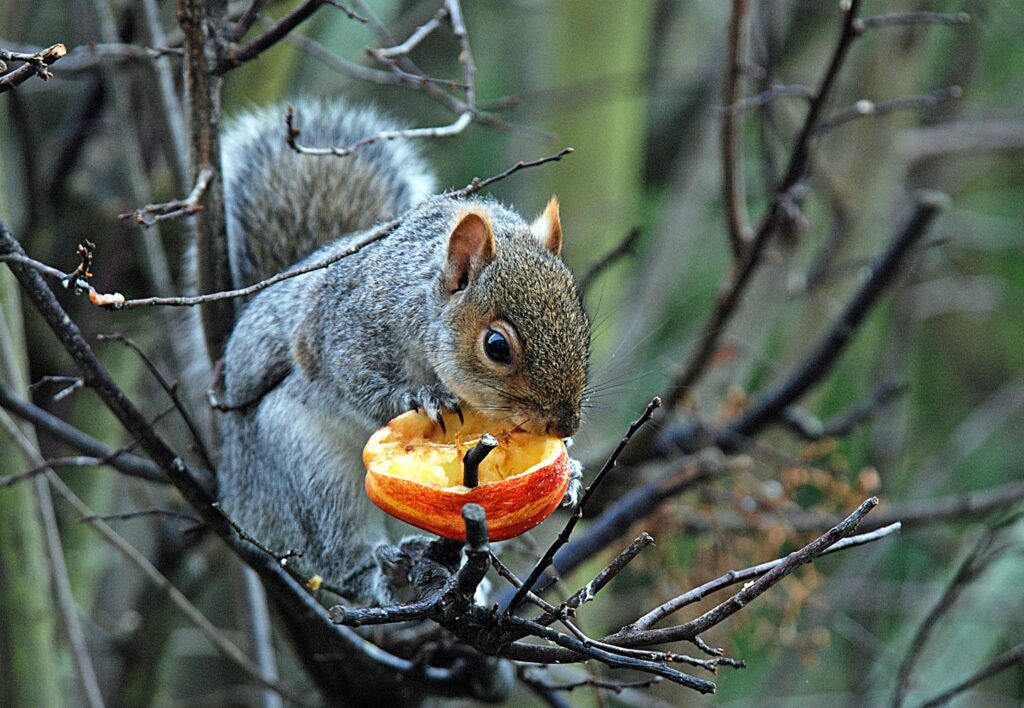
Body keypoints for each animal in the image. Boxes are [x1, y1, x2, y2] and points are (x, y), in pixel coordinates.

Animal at [216, 98, 591, 604]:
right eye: (496, 346)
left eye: (581, 321)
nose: (564, 425)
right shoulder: (343, 331)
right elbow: (355, 381)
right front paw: (422, 400)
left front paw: (571, 469)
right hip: (304, 468)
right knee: (334, 548)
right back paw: (382, 573)